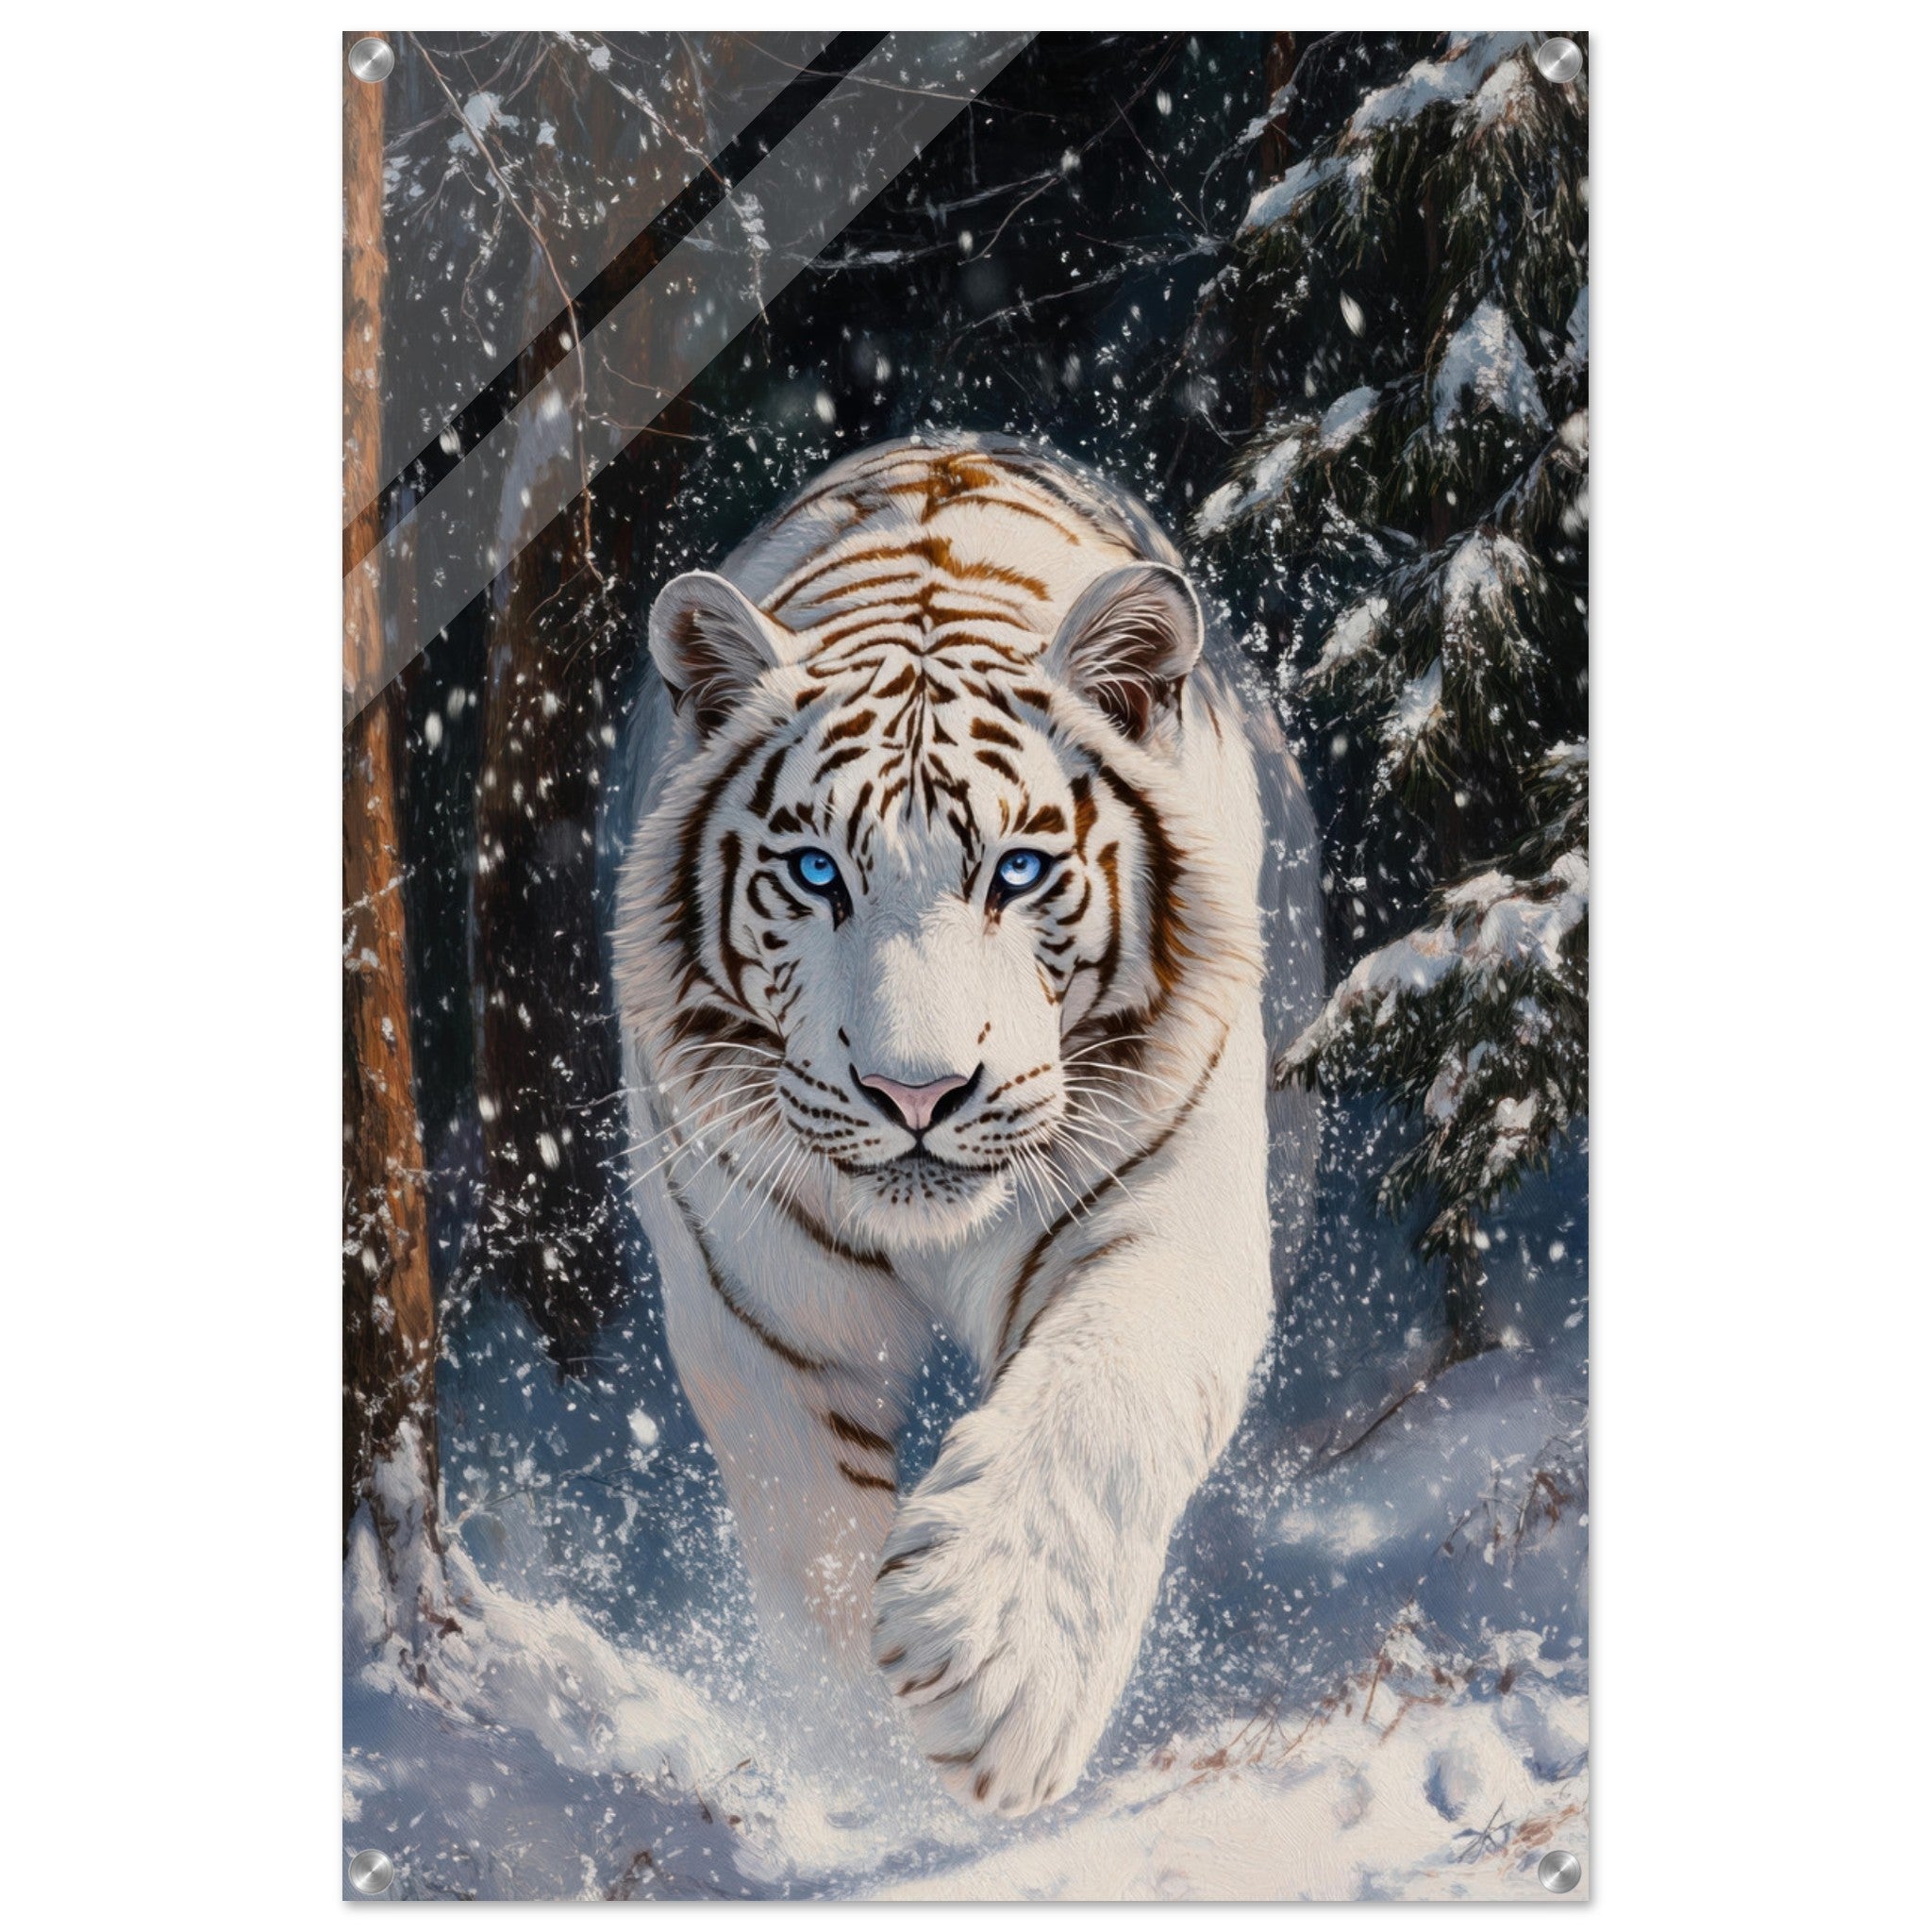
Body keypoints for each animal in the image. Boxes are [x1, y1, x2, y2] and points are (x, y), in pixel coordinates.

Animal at [610, 432, 1320, 1817]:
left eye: (1020, 871)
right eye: (816, 873)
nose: (916, 1093)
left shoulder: (1170, 1217)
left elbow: (1103, 1408)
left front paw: (991, 1670)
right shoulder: (755, 1305)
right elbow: (810, 1540)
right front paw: (866, 1769)